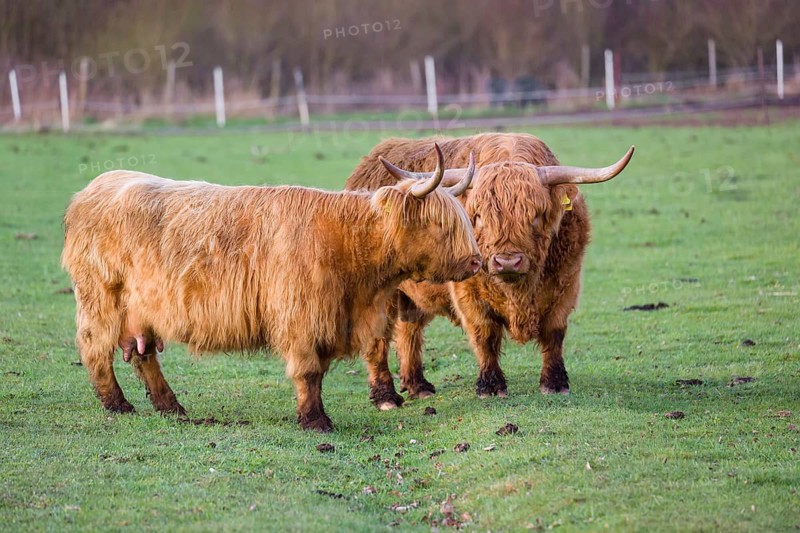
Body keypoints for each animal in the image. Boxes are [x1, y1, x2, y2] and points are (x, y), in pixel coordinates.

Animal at [61, 144, 481, 432]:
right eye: (442, 224)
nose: (477, 261)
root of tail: (96, 186)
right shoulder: (302, 319)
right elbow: (308, 372)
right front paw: (315, 421)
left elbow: (320, 371)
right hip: (101, 299)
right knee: (95, 348)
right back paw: (118, 405)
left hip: (143, 311)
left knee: (144, 355)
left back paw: (171, 407)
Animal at [345, 133, 634, 409]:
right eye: (480, 217)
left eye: (536, 216)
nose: (507, 262)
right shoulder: (468, 295)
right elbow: (485, 335)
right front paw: (491, 386)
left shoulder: (567, 284)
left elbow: (554, 333)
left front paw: (554, 383)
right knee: (377, 341)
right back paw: (385, 397)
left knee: (409, 331)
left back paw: (419, 386)